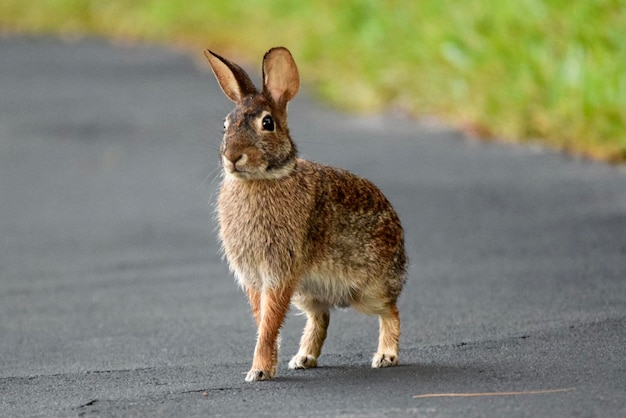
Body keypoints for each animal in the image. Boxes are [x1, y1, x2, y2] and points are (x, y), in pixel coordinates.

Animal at [205, 46, 408, 382]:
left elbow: (269, 321)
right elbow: (264, 320)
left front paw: (259, 371)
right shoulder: (254, 275)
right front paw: (268, 364)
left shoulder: (280, 269)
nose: (233, 157)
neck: (262, 179)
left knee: (390, 310)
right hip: (308, 291)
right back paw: (304, 358)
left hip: (369, 289)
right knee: (321, 317)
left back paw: (386, 356)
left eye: (268, 123)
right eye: (225, 124)